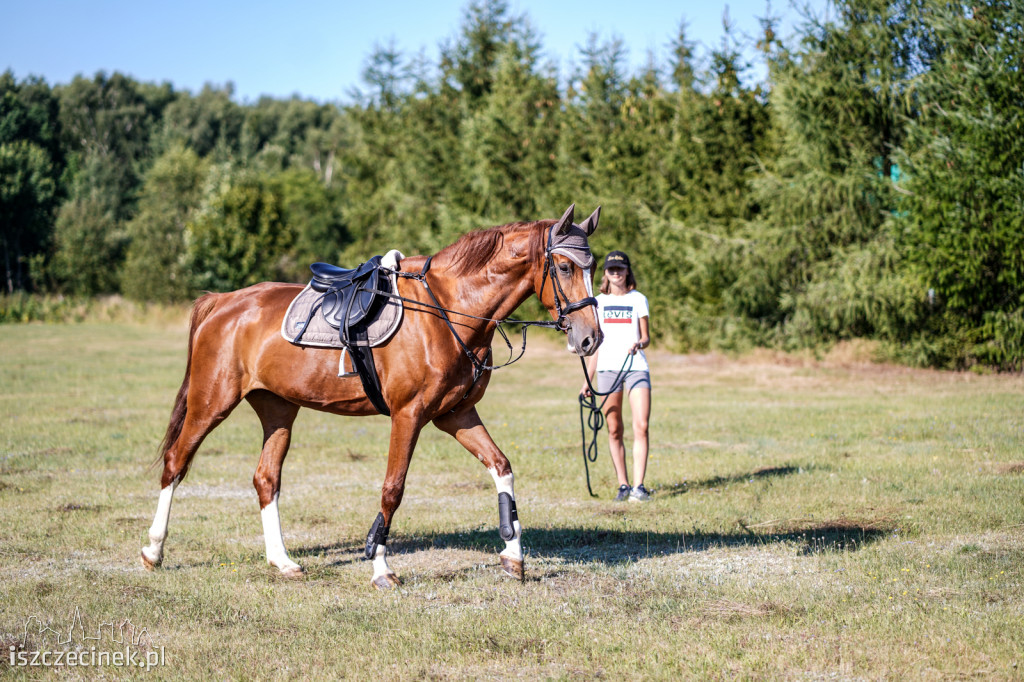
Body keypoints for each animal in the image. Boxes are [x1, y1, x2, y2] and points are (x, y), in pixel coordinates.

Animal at [137, 201, 598, 585]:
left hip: (278, 409)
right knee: (176, 462)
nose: (590, 339)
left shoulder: (456, 415)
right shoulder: (409, 415)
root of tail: (223, 302)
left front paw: (513, 557)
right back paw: (153, 552)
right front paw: (381, 569)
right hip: (211, 401)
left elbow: (502, 468)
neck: (448, 310)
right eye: (564, 267)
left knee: (266, 479)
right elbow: (392, 490)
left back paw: (282, 561)